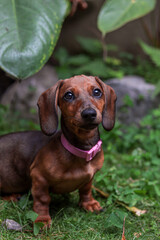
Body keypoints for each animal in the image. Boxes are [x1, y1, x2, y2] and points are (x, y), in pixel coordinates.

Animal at [0, 74, 115, 227]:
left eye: (97, 92)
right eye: (68, 95)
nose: (89, 114)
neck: (80, 150)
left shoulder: (90, 177)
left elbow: (86, 189)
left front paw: (89, 204)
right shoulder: (38, 177)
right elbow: (43, 199)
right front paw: (42, 219)